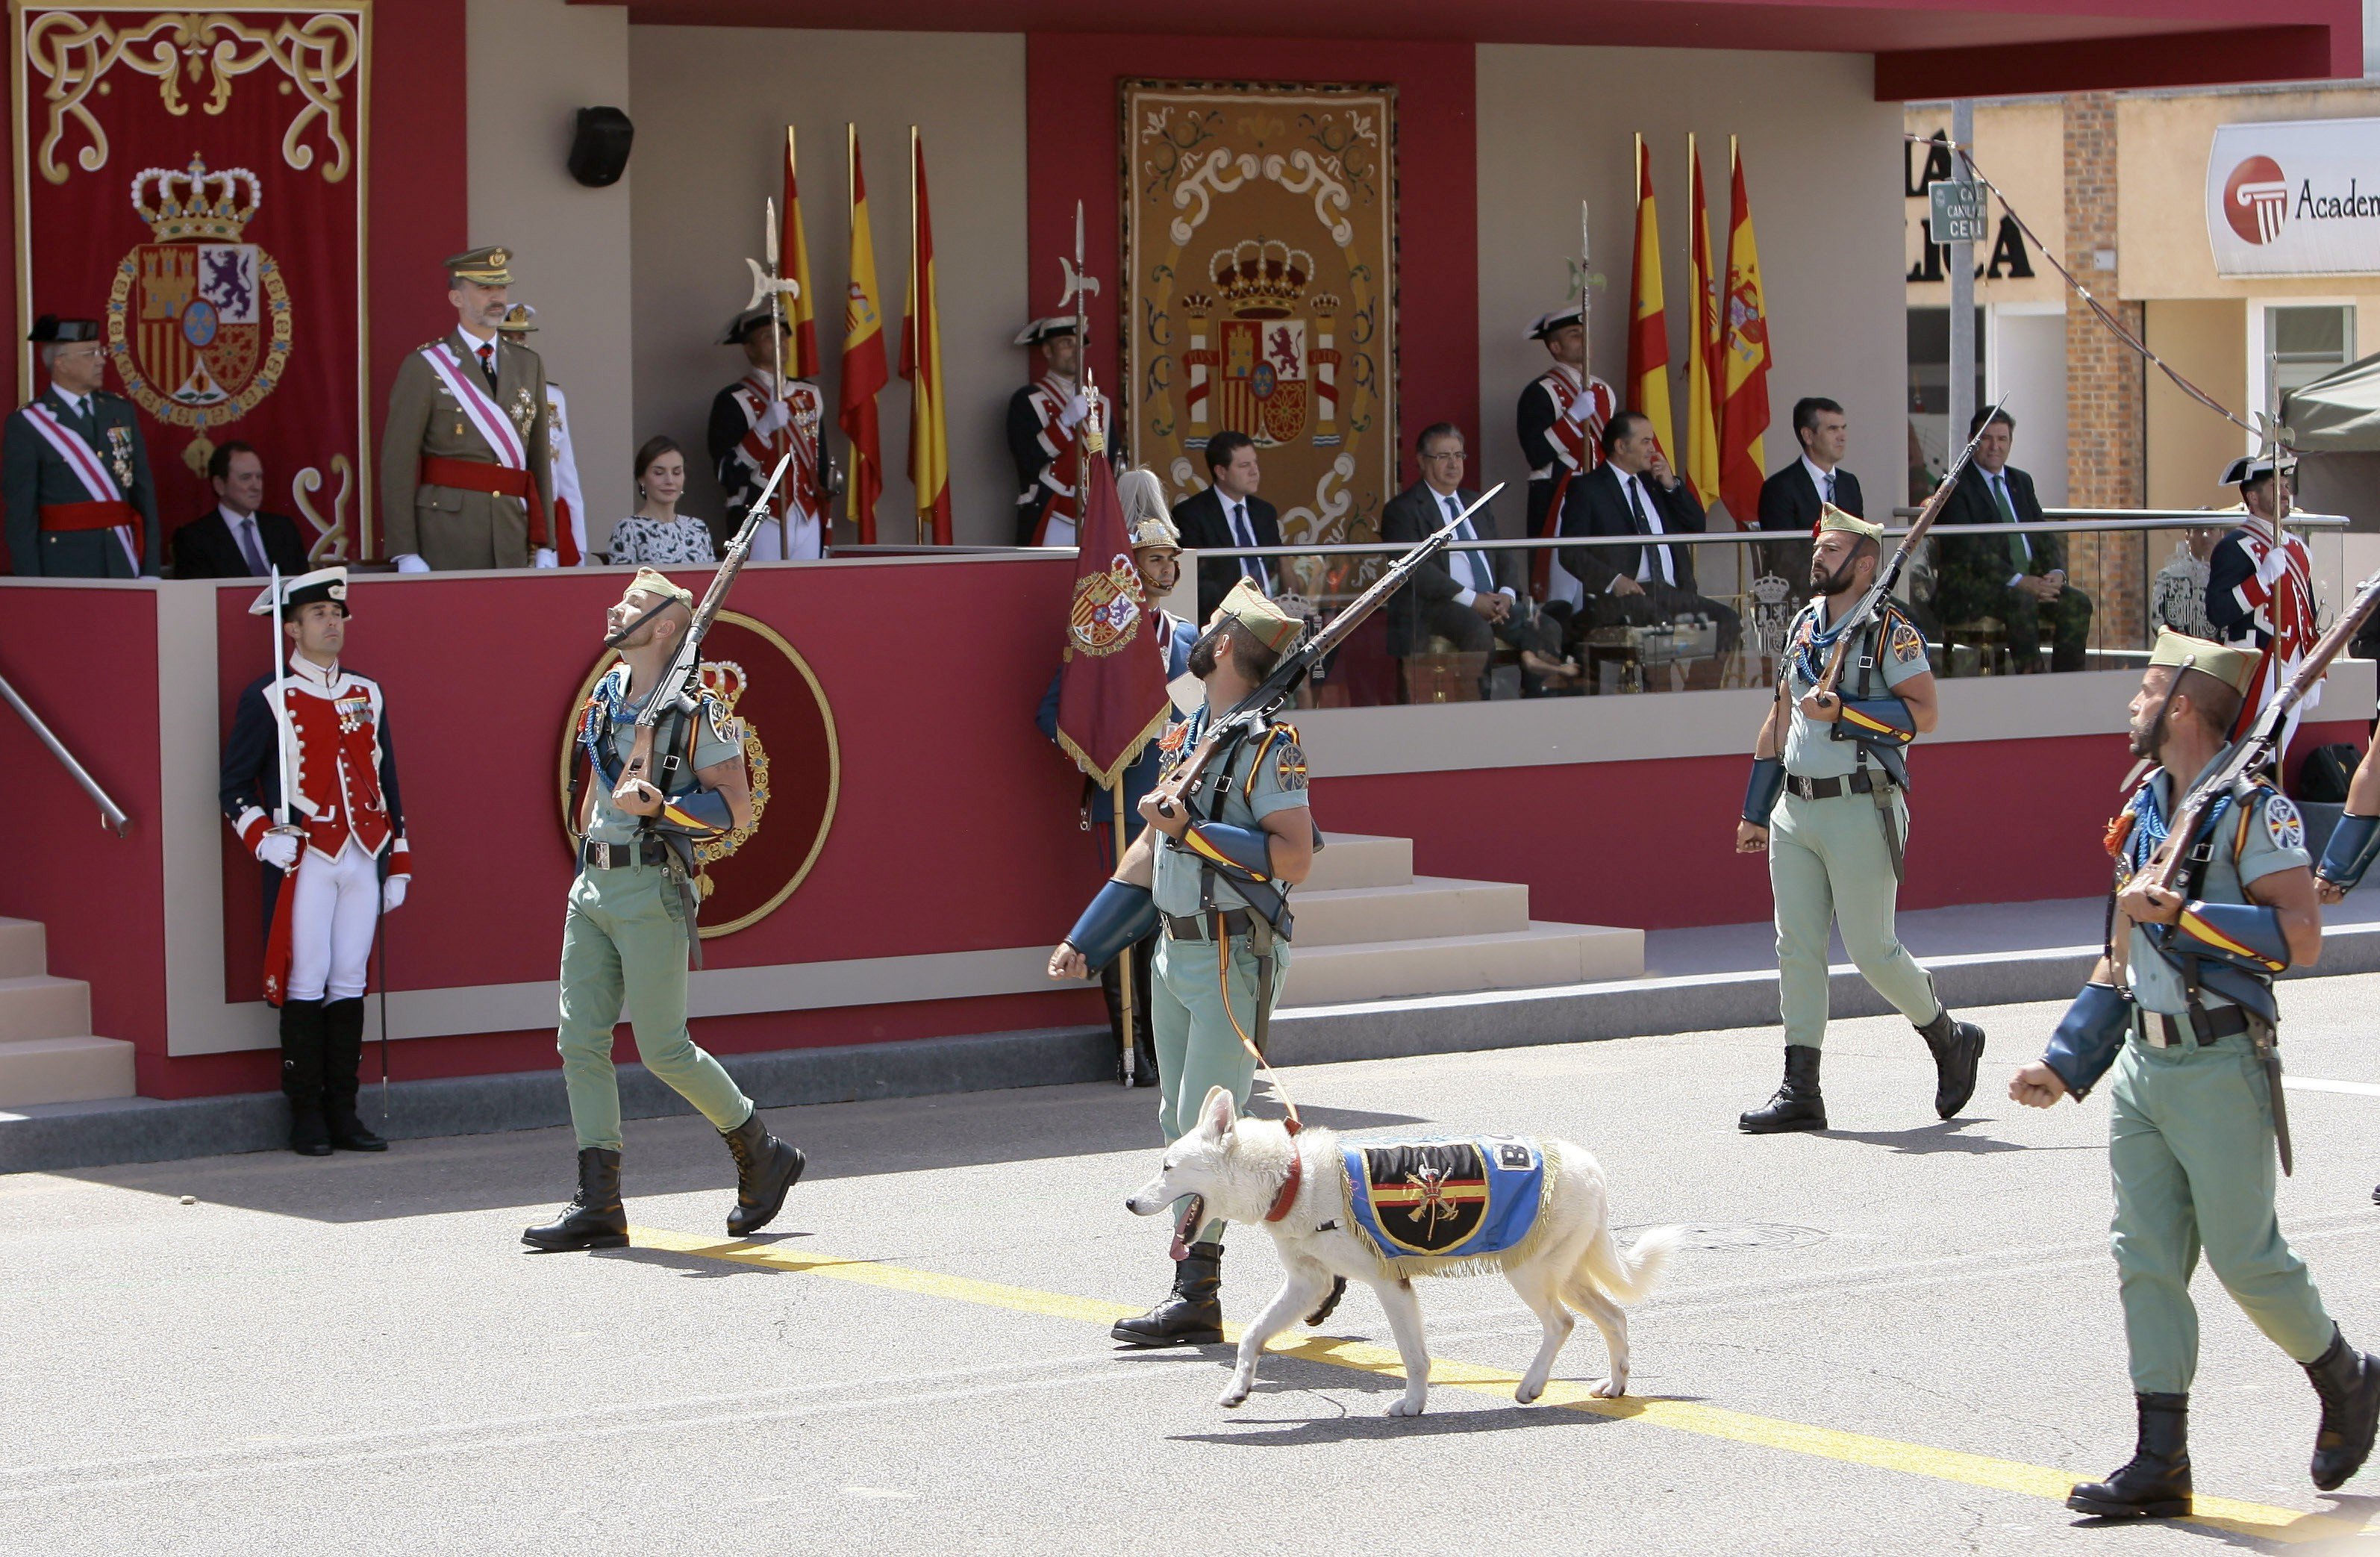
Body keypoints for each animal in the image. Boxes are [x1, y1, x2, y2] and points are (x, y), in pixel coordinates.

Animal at [1123, 1090, 1684, 1419]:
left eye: (1167, 1167)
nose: (1127, 1203)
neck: (1294, 1175)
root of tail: (1590, 1164)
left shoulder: (1387, 1283)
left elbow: (1414, 1357)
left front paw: (1413, 1404)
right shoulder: (1309, 1285)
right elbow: (1253, 1337)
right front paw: (1239, 1388)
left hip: (1529, 1273)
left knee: (1562, 1323)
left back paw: (1530, 1387)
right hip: (1563, 1273)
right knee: (1614, 1317)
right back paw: (1614, 1385)